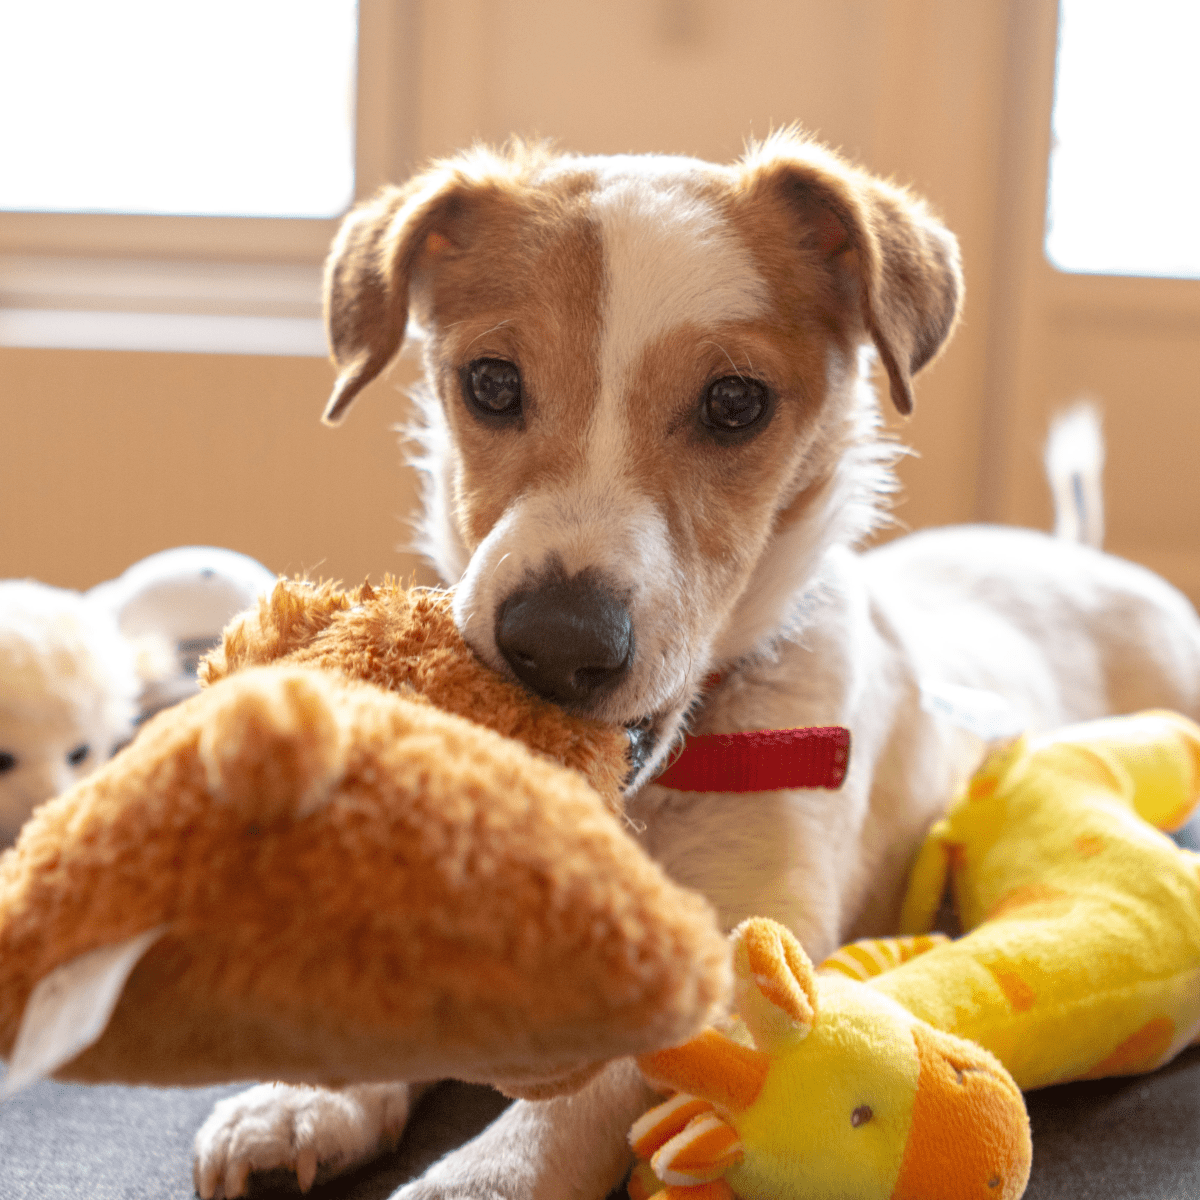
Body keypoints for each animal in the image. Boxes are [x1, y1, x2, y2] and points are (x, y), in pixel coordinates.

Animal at [192, 126, 1200, 1195]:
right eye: (491, 384)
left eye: (735, 402)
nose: (557, 643)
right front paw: (305, 1097)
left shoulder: (753, 942)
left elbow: (588, 1098)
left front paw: (479, 1176)